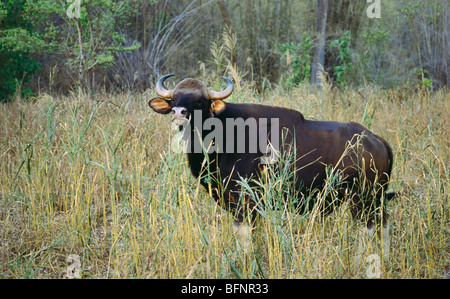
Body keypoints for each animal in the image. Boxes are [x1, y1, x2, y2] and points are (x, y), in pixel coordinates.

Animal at [149, 74, 394, 253]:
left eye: (200, 100)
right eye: (175, 98)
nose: (178, 112)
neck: (223, 134)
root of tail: (375, 139)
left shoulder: (245, 201)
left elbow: (243, 238)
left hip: (362, 198)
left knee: (367, 229)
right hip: (375, 199)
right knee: (383, 225)